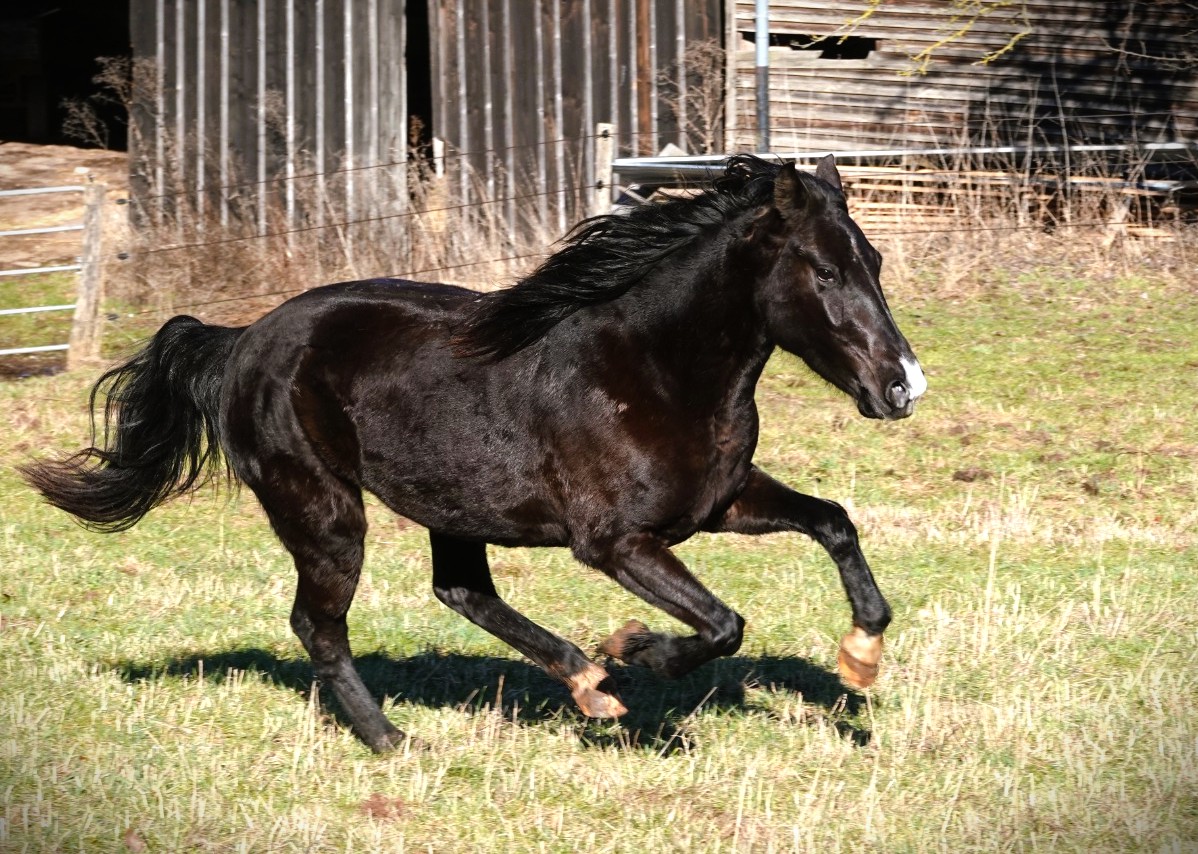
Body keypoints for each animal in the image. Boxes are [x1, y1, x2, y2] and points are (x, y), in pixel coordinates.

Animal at [21, 154, 926, 753]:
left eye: (875, 261)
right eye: (824, 271)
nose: (903, 385)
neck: (652, 366)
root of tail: (241, 341)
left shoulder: (717, 503)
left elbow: (834, 522)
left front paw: (860, 660)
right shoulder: (616, 543)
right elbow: (722, 623)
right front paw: (635, 649)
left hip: (449, 504)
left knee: (460, 590)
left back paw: (584, 686)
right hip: (324, 510)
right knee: (320, 623)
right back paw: (395, 740)